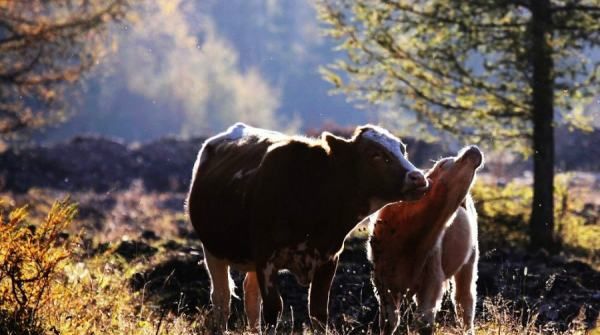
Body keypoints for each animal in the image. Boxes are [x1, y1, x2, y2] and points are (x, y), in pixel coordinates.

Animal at [185, 122, 428, 334]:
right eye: (374, 154)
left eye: (402, 150)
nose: (419, 178)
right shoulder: (266, 259)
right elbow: (274, 309)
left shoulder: (329, 259)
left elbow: (318, 312)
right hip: (213, 250)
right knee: (222, 299)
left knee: (251, 297)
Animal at [370, 146, 482, 334]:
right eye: (443, 163)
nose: (473, 150)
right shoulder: (381, 277)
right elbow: (389, 320)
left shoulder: (433, 276)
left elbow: (424, 321)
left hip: (470, 259)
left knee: (464, 300)